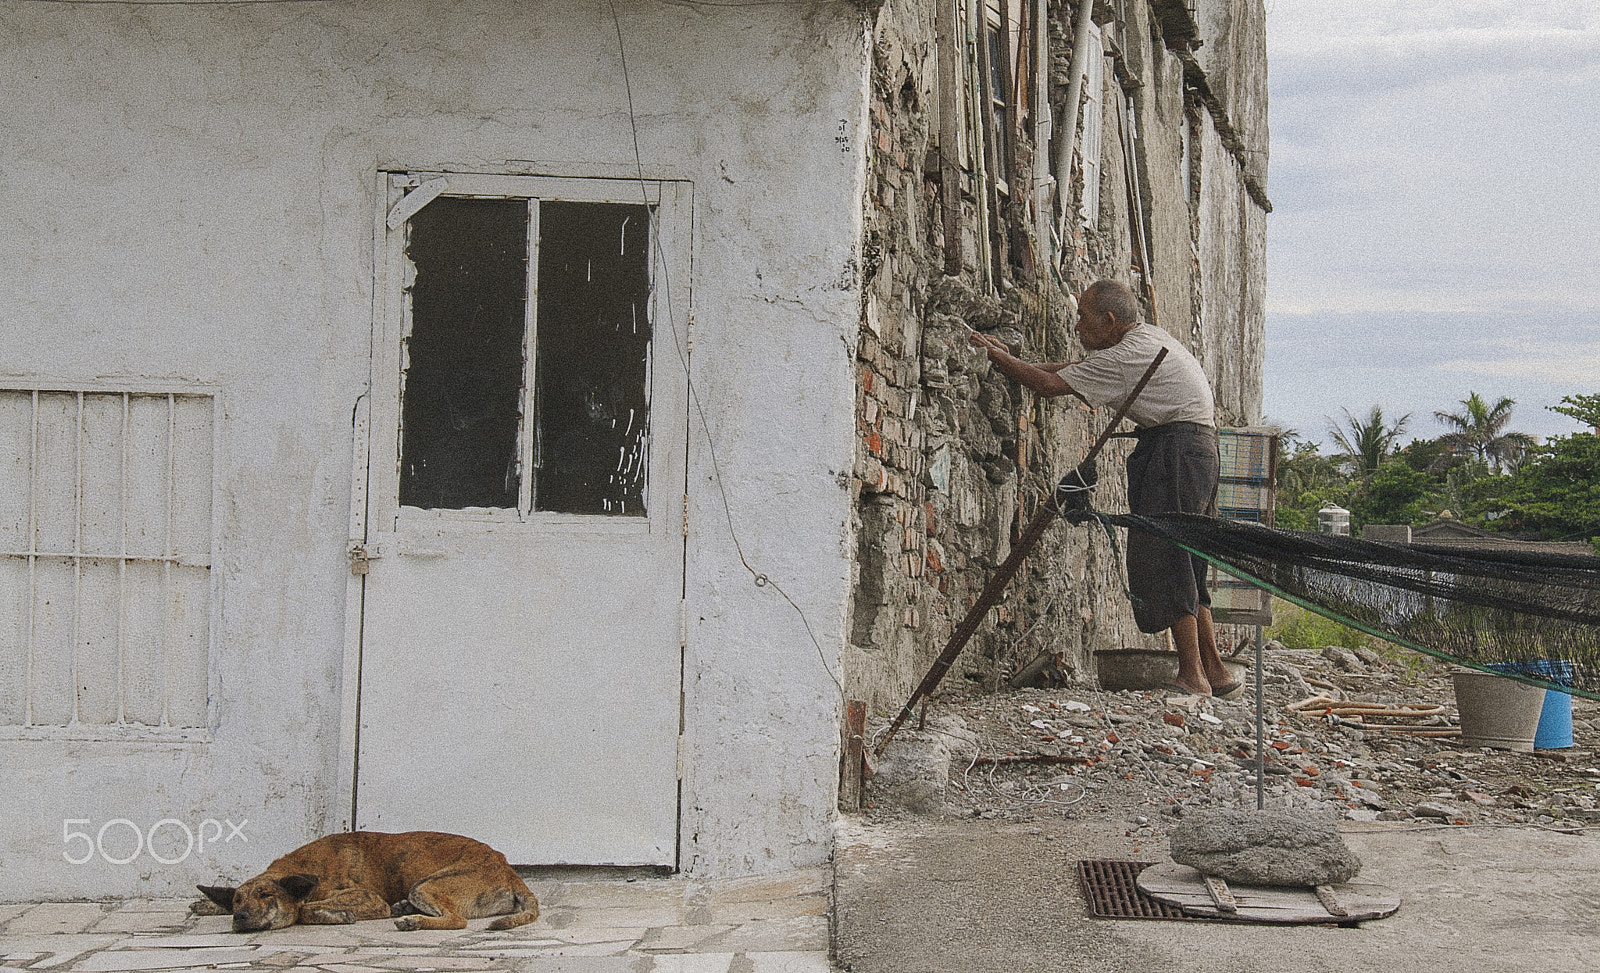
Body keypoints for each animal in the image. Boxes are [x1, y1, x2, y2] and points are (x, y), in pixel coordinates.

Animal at [195, 832, 537, 928]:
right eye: (237, 901)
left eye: (267, 895)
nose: (239, 917)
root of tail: (509, 870)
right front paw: (207, 905)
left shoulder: (368, 899)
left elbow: (304, 910)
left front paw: (334, 915)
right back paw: (405, 910)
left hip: (424, 885)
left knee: (457, 920)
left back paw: (414, 921)